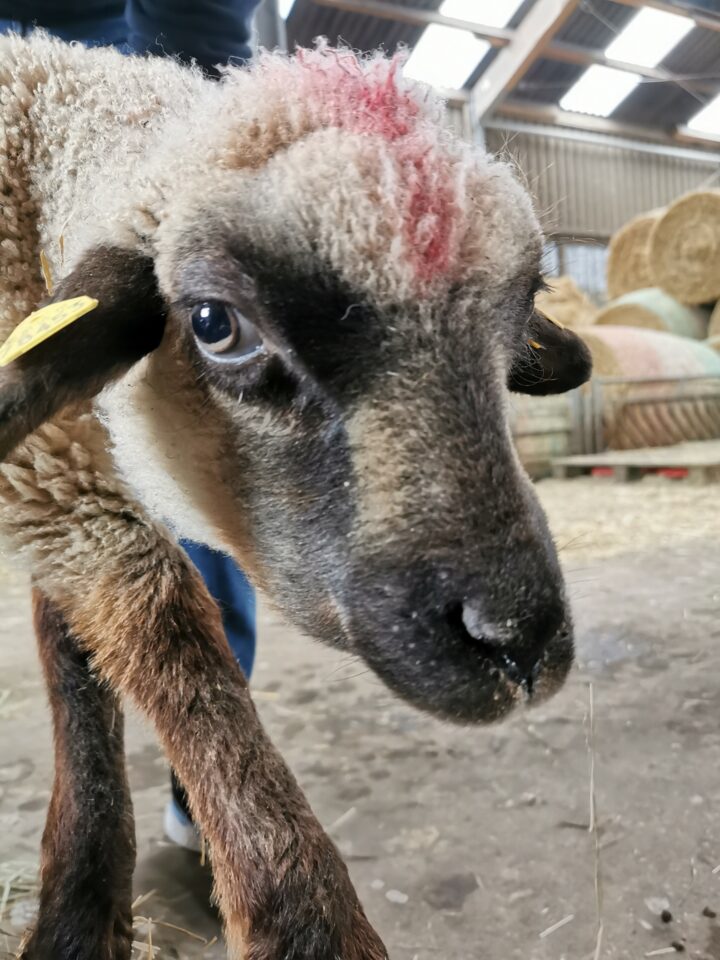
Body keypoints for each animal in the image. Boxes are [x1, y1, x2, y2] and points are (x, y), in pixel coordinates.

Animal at [0, 33, 592, 960]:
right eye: (214, 324)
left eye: (521, 304)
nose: (517, 641)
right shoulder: (54, 463)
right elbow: (159, 626)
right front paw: (294, 916)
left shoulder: (65, 457)